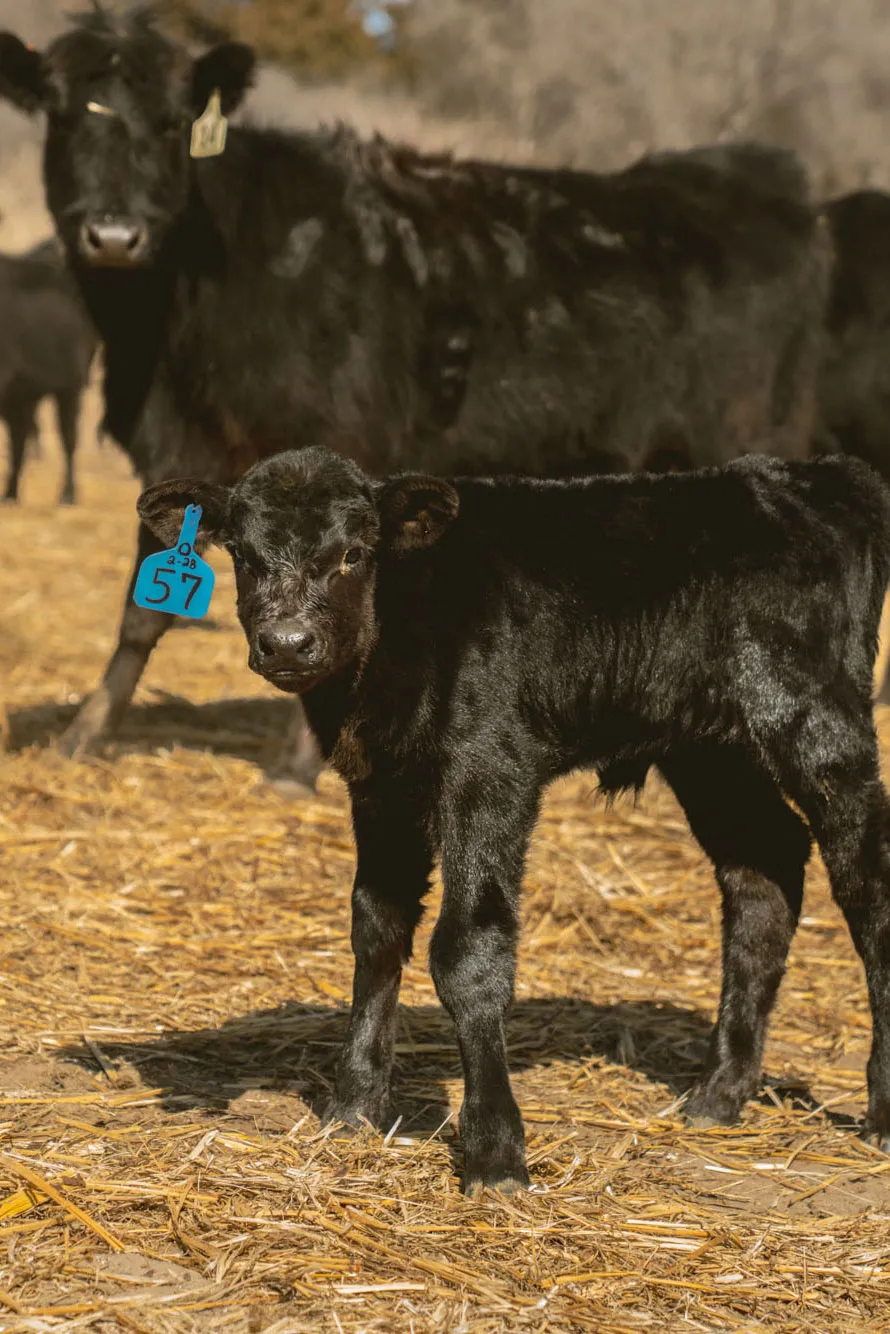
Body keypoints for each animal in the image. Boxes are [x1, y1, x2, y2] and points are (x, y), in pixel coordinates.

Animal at [0, 238, 97, 505]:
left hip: (69, 388)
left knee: (68, 439)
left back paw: (68, 494)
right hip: (24, 396)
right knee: (20, 438)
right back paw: (10, 493)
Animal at [137, 446, 890, 1194]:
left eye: (353, 553)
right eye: (242, 553)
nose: (288, 643)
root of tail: (812, 474)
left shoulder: (490, 771)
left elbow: (467, 951)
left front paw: (495, 1153)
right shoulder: (382, 787)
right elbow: (375, 930)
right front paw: (355, 1106)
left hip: (816, 722)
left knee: (866, 887)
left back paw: (878, 1108)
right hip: (710, 748)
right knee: (764, 872)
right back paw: (718, 1095)